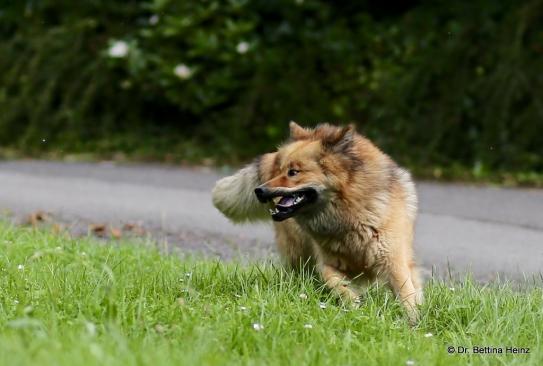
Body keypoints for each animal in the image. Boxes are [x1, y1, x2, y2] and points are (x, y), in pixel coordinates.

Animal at [212, 121, 424, 322]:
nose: (259, 191)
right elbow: (338, 285)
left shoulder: (394, 261)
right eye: (280, 171)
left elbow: (406, 292)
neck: (350, 212)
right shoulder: (327, 263)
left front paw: (412, 320)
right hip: (298, 252)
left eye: (293, 172)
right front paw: (355, 306)